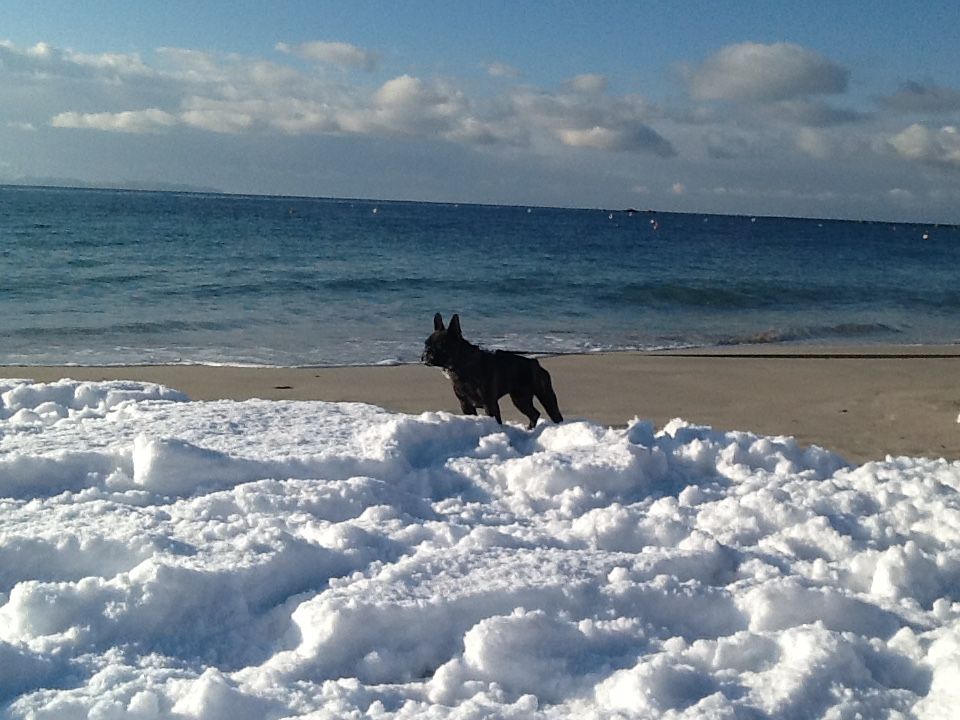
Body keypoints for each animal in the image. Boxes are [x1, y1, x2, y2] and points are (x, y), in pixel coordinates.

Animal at [420, 310, 564, 428]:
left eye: (440, 346)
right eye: (426, 344)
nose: (426, 353)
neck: (462, 365)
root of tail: (535, 363)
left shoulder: (489, 404)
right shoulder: (466, 404)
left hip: (545, 395)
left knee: (554, 414)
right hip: (520, 399)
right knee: (534, 414)